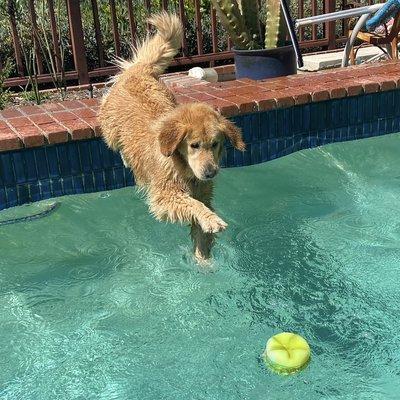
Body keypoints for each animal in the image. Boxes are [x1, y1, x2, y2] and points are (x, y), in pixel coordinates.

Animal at [99, 12, 244, 262]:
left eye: (215, 144)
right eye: (194, 145)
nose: (210, 172)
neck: (183, 167)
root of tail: (140, 70)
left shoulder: (204, 194)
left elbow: (200, 229)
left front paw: (203, 260)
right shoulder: (164, 197)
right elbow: (192, 204)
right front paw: (211, 220)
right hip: (110, 127)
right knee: (112, 138)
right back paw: (126, 157)